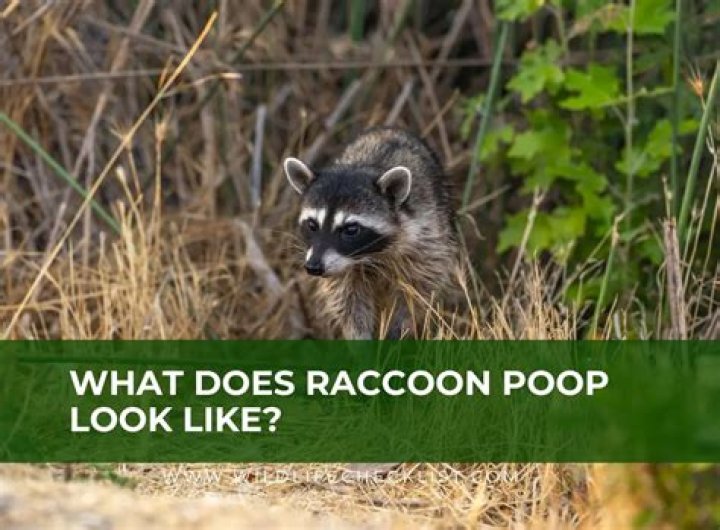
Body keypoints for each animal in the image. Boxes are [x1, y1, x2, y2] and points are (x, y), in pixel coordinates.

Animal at [284, 127, 457, 339]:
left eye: (351, 229)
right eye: (312, 225)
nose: (313, 267)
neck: (371, 255)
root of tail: (390, 130)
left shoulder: (426, 238)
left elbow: (417, 291)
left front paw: (398, 329)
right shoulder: (342, 270)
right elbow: (347, 302)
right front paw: (360, 337)